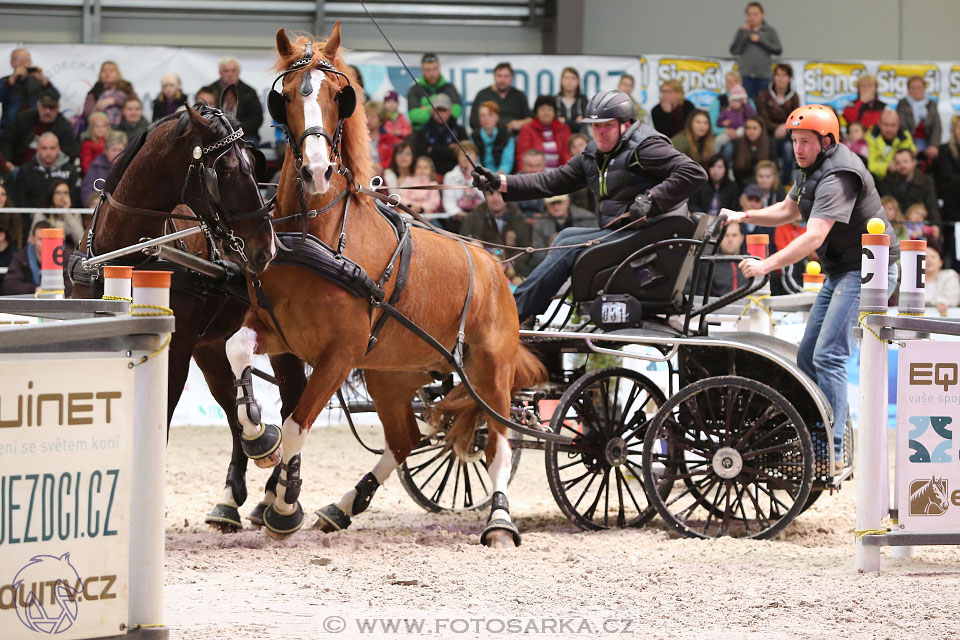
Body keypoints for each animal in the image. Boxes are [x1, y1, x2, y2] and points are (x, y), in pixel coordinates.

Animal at [73, 89, 310, 528]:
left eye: (254, 163)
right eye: (227, 172)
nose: (266, 248)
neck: (124, 255)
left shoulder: (175, 352)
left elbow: (159, 423)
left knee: (293, 402)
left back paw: (278, 498)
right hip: (212, 347)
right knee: (234, 411)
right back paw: (232, 499)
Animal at [220, 22, 544, 548]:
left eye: (339, 95)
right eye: (285, 96)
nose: (315, 170)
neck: (321, 238)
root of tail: (495, 264)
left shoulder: (339, 353)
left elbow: (296, 426)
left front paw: (283, 508)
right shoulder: (276, 332)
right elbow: (238, 351)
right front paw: (256, 435)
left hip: (491, 371)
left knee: (496, 442)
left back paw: (499, 520)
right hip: (393, 375)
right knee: (406, 439)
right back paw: (344, 505)